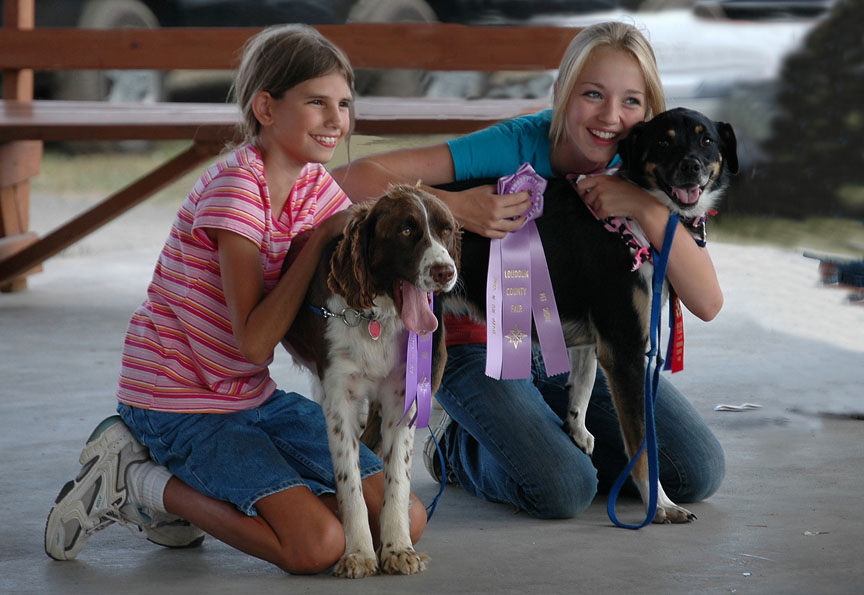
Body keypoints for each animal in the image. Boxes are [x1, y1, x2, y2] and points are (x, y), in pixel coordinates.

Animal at [282, 185, 460, 576]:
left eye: (446, 230)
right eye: (406, 230)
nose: (444, 271)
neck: (374, 319)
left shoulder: (401, 396)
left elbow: (397, 478)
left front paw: (398, 548)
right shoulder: (339, 397)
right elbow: (350, 480)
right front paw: (359, 553)